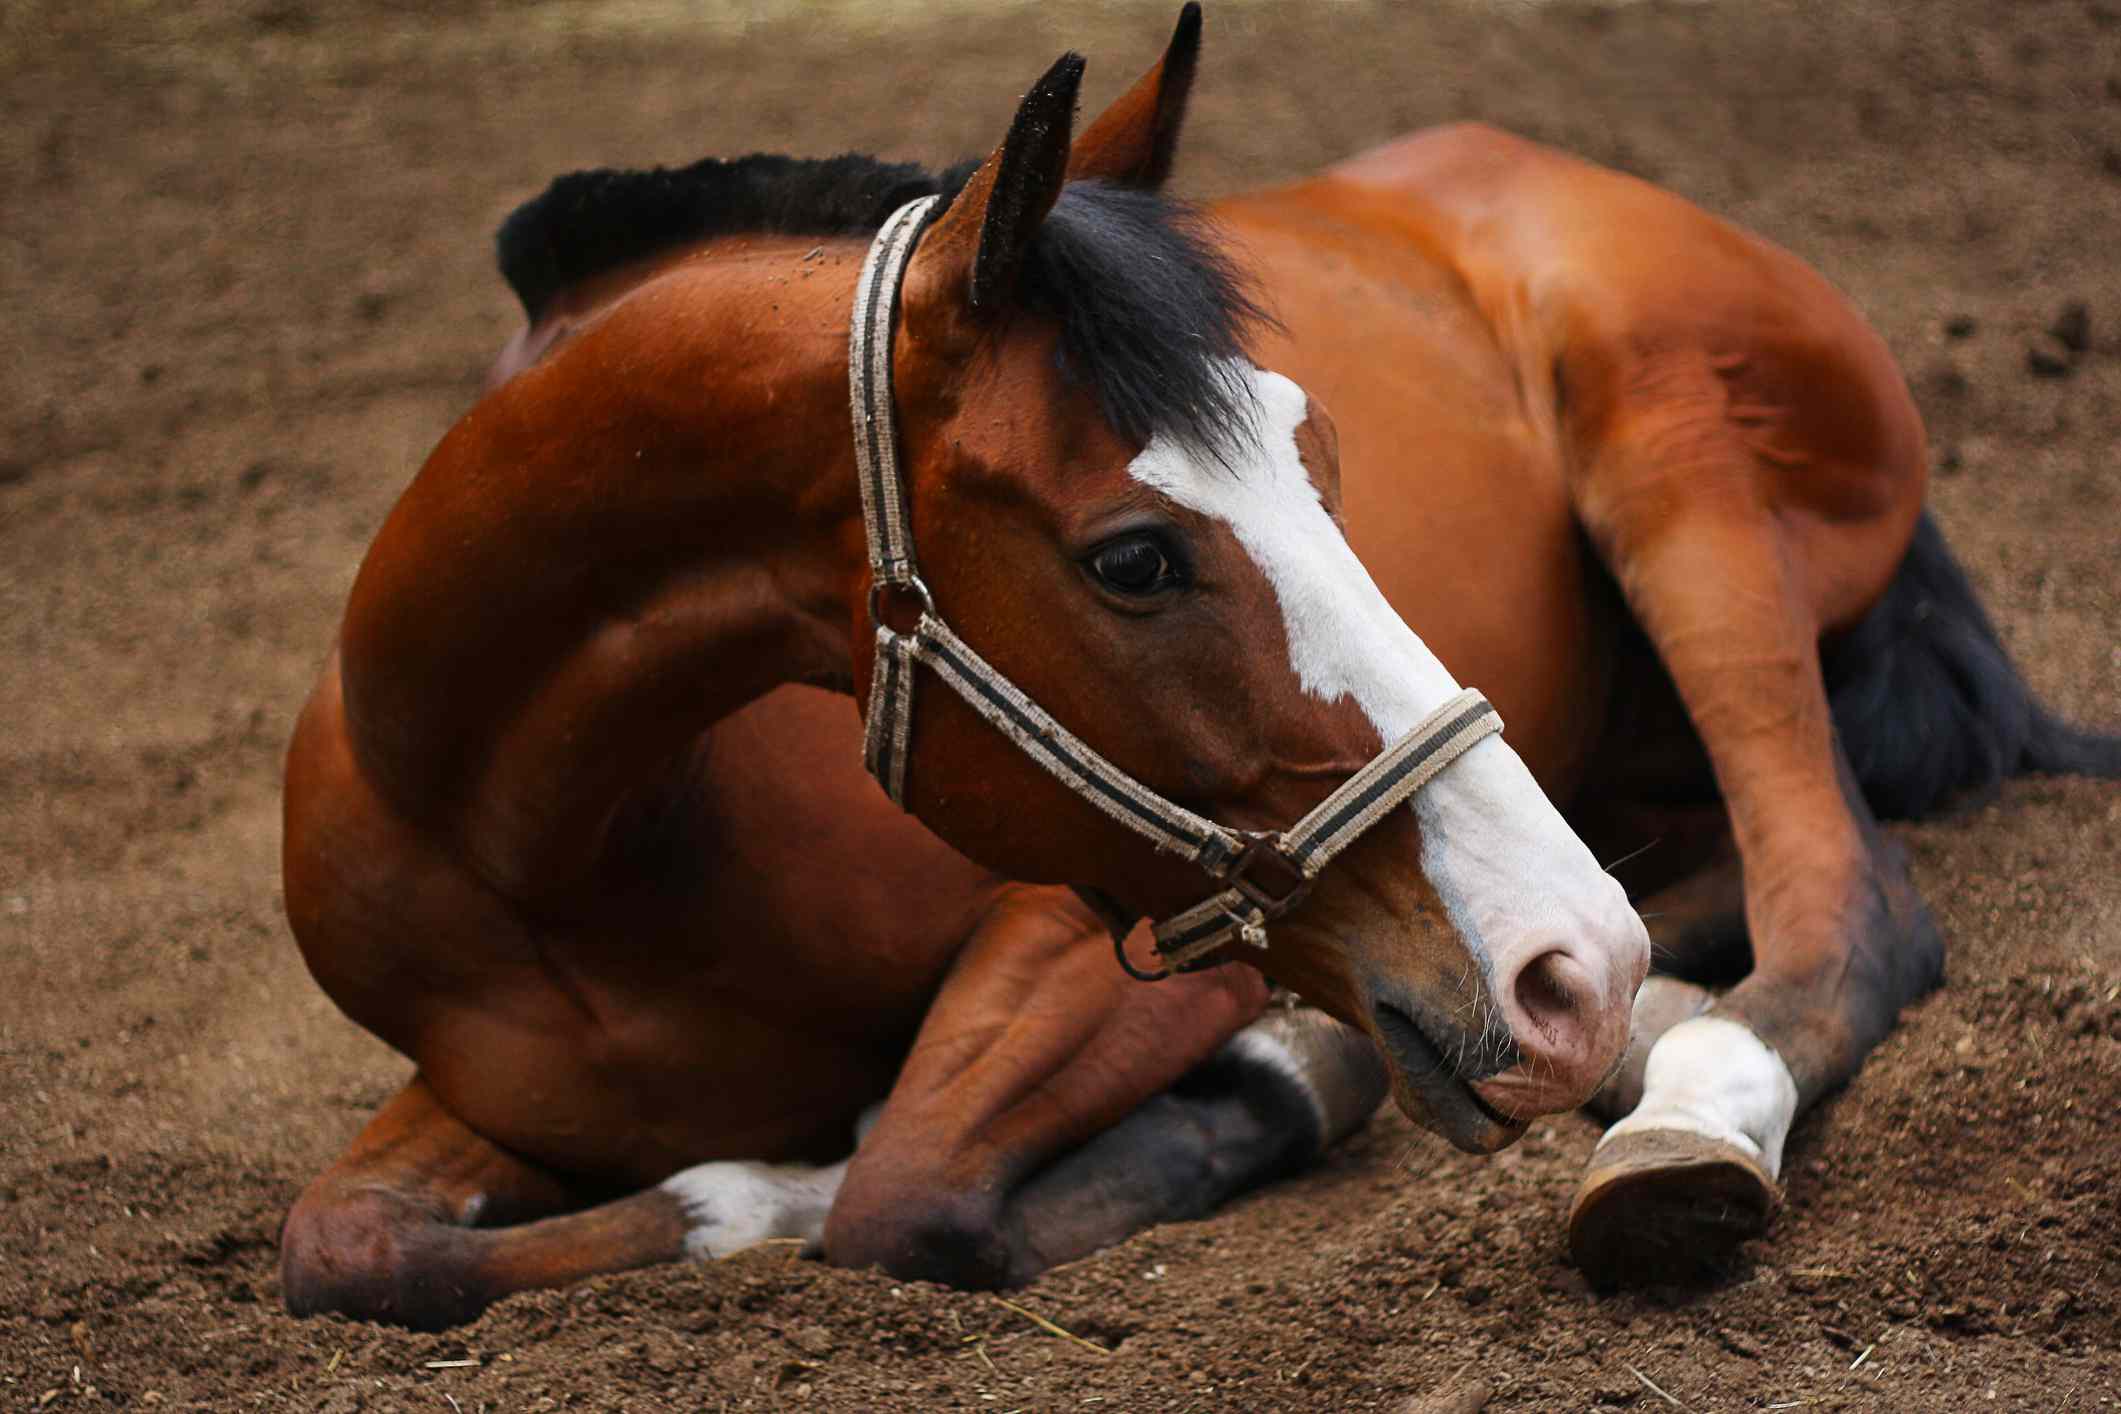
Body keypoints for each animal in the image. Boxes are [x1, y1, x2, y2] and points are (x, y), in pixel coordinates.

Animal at [282, 5, 2121, 1331]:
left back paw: (1670, 1093)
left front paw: (1277, 1076)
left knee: (1845, 901)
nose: (1563, 966)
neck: (563, 843)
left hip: (1673, 453)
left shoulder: (1104, 929)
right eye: (1134, 557)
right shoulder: (481, 1094)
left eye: (1321, 456)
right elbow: (344, 1243)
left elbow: (897, 1190)